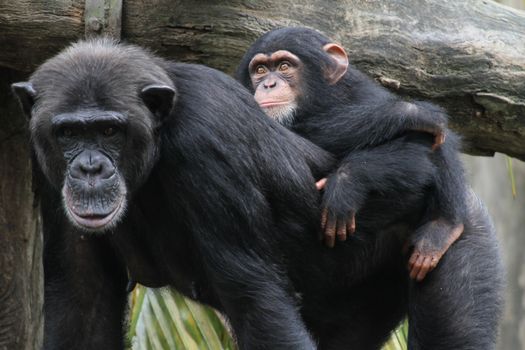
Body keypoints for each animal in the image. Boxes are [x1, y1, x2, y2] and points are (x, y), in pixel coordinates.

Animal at [235, 26, 464, 280]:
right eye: (260, 70)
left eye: (284, 66)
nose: (268, 84)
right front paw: (411, 112)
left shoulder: (366, 94)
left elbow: (413, 149)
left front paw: (344, 186)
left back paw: (443, 226)